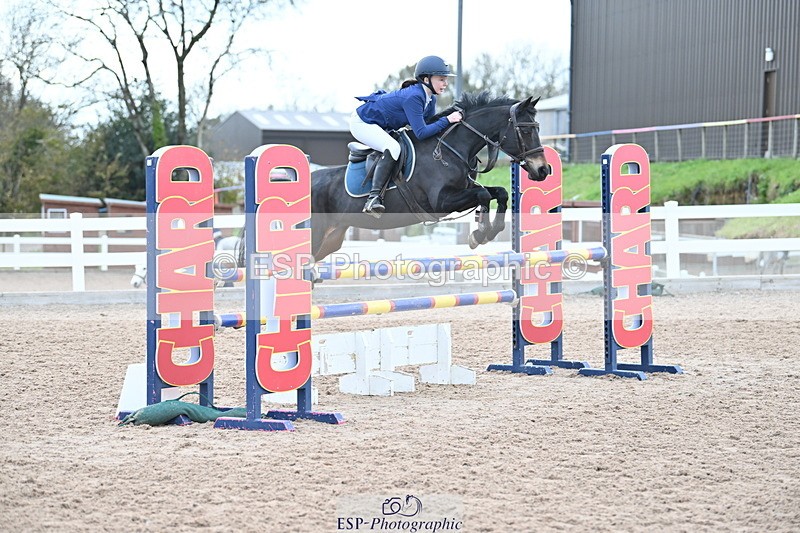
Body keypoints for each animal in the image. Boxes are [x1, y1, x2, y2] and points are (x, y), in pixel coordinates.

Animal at [310, 91, 549, 261]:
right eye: (526, 131)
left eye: (537, 128)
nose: (543, 170)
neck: (449, 149)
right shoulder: (440, 202)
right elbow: (483, 195)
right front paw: (480, 234)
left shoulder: (464, 189)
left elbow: (499, 193)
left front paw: (488, 232)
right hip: (317, 232)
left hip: (332, 237)